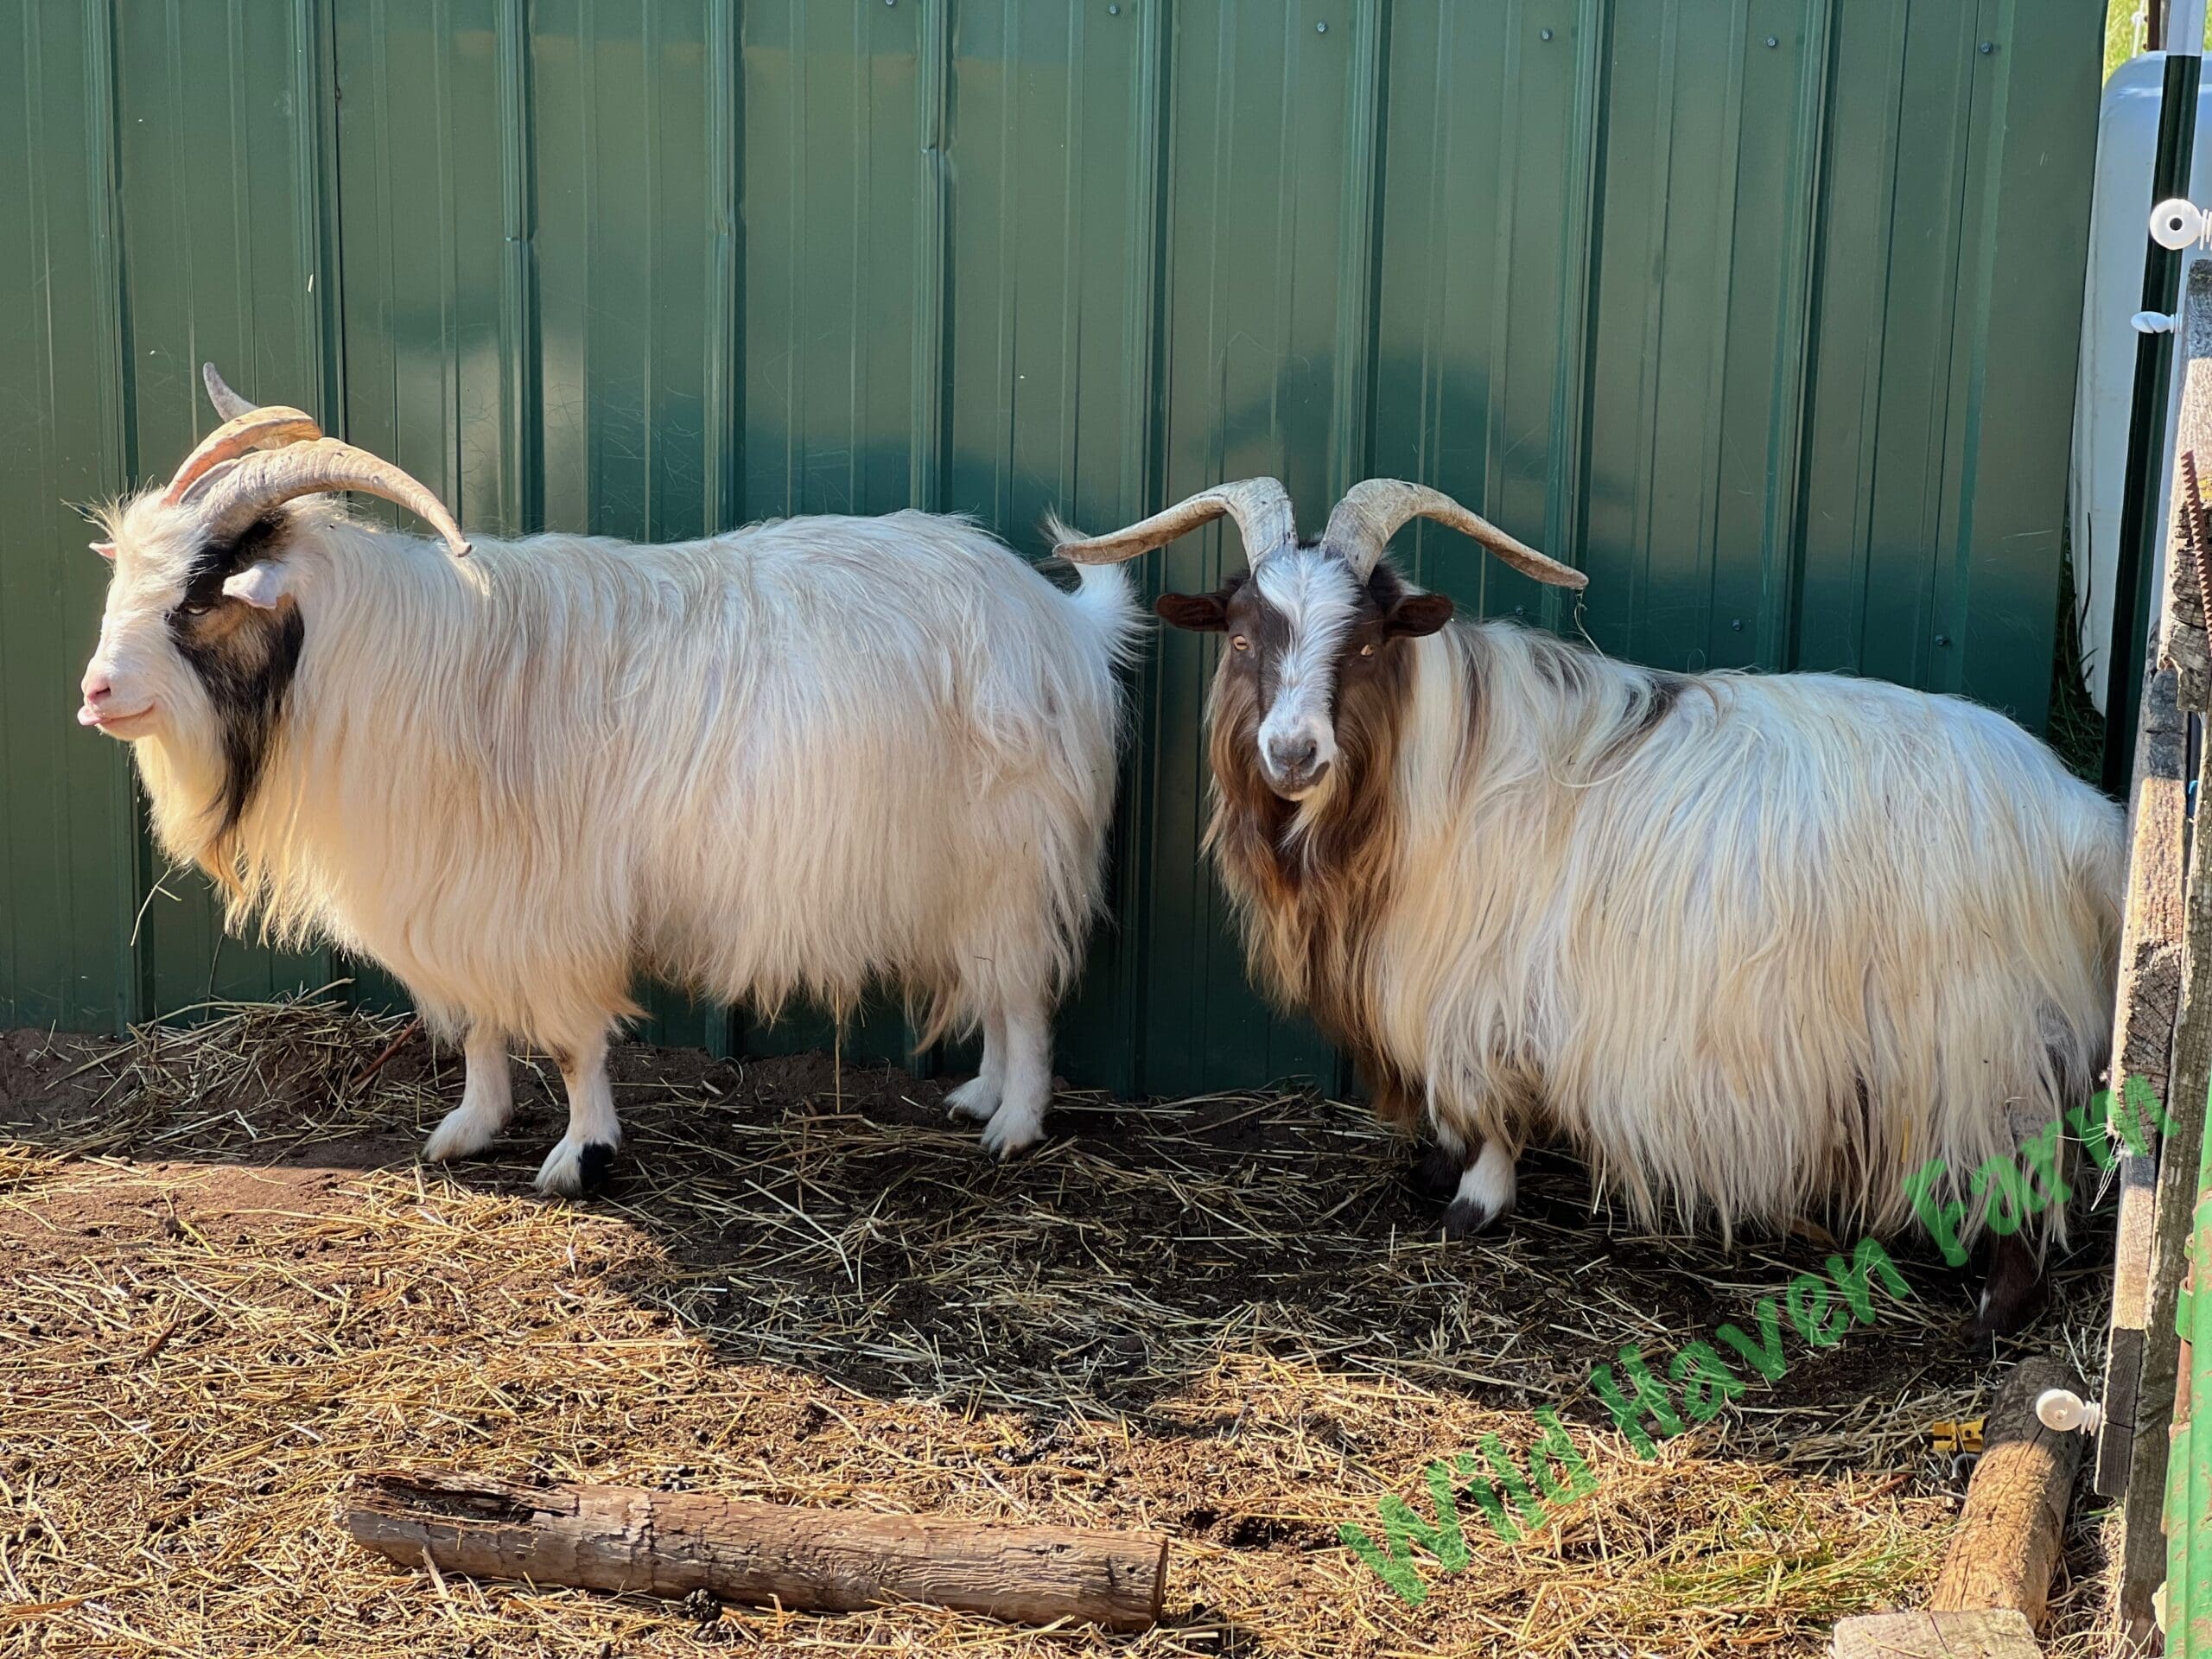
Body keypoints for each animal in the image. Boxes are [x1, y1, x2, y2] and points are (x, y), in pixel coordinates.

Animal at [78, 366, 1138, 1192]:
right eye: (127, 571)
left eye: (200, 595)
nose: (94, 692)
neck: (388, 665)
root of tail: (1059, 621)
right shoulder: (458, 896)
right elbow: (482, 1027)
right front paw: (469, 1129)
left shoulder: (554, 904)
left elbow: (575, 1040)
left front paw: (581, 1155)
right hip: (973, 875)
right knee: (999, 988)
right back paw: (980, 1095)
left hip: (1012, 856)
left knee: (1025, 994)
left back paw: (1015, 1125)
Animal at [1054, 478, 2122, 1333]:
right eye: (1242, 637)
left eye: (1358, 645)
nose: (1291, 754)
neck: (1429, 771)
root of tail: (2083, 818)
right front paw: (1436, 1176)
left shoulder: (1474, 989)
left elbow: (1484, 1106)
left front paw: (1471, 1205)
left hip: (1982, 1042)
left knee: (2025, 1168)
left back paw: (1995, 1306)